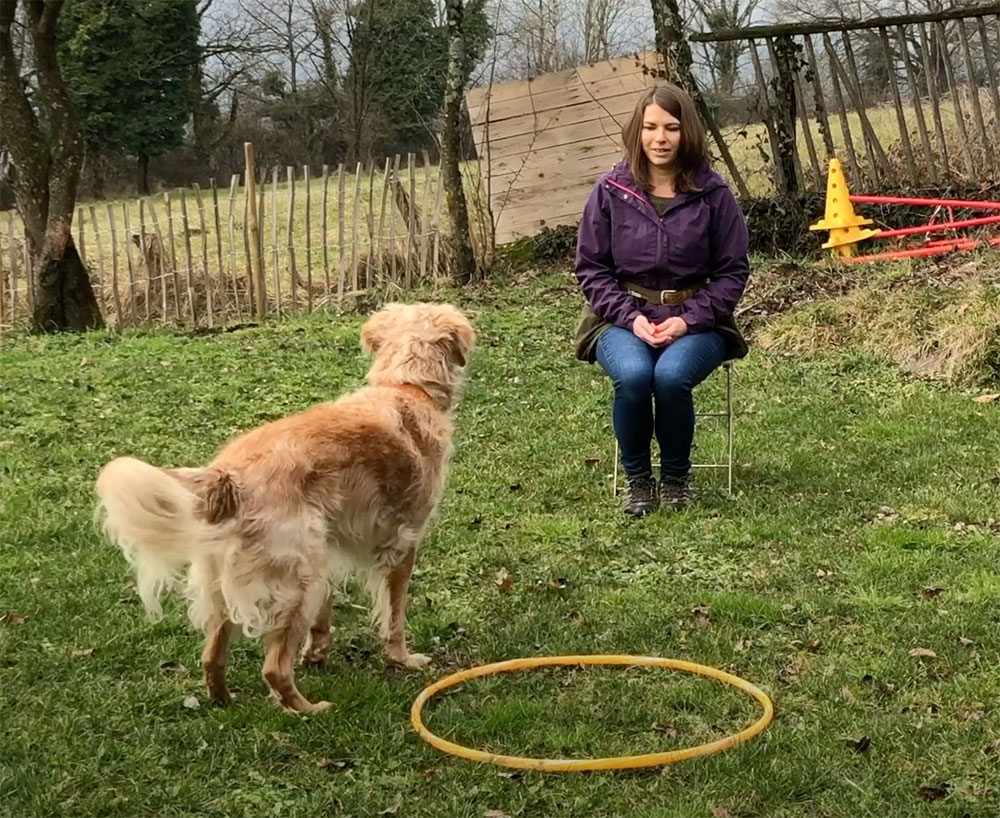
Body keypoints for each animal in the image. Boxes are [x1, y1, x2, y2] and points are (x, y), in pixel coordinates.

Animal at [97, 302, 476, 712]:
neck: (405, 387)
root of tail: (227, 475)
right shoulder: (402, 544)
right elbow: (395, 616)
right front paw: (403, 658)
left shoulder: (330, 544)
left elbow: (325, 611)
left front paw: (318, 651)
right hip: (298, 580)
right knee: (274, 669)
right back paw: (308, 710)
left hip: (239, 582)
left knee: (211, 657)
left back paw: (225, 699)